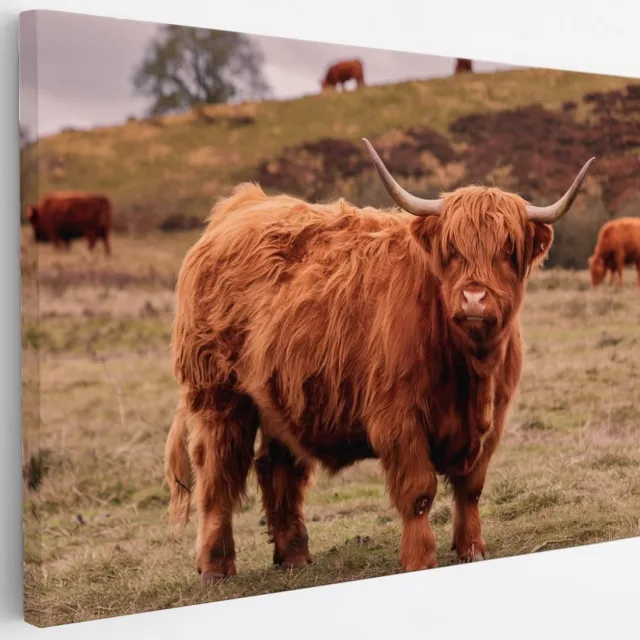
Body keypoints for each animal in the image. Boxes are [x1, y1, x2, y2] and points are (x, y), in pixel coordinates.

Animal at [165, 139, 594, 585]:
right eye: (452, 251)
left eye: (508, 251)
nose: (474, 299)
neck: (470, 370)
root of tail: (239, 206)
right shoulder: (399, 418)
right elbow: (419, 493)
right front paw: (420, 560)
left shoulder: (494, 421)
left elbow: (471, 488)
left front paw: (472, 549)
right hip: (217, 396)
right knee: (216, 476)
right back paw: (215, 567)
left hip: (280, 396)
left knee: (276, 466)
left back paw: (294, 555)